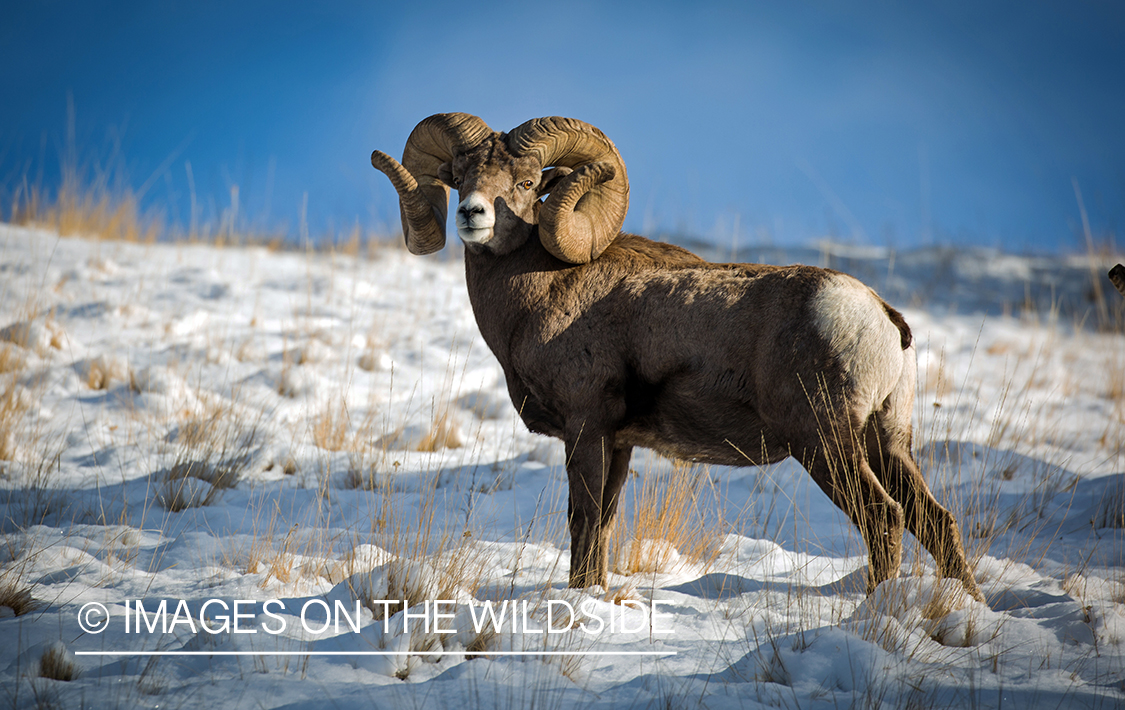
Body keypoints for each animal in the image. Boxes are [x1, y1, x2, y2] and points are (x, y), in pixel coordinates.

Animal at [370, 113, 984, 601]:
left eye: (523, 183)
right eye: (461, 179)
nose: (472, 215)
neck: (541, 291)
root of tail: (882, 318)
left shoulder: (586, 430)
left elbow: (583, 521)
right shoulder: (618, 444)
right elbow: (602, 527)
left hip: (824, 443)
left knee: (884, 519)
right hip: (885, 441)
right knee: (936, 523)